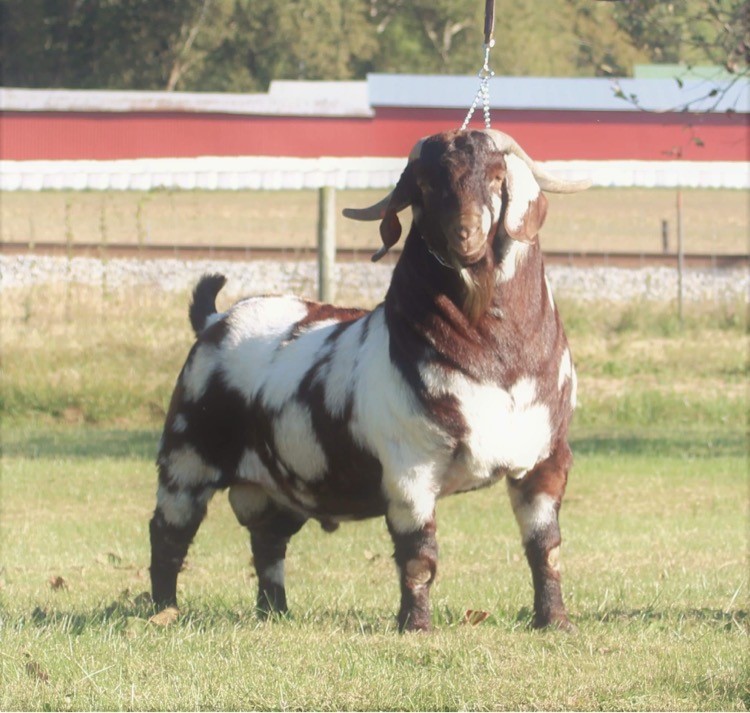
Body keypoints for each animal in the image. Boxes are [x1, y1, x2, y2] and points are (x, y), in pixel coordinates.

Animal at [149, 129, 588, 631]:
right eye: (426, 185)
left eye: (498, 177)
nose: (467, 234)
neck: (498, 366)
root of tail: (214, 320)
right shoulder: (409, 469)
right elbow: (419, 555)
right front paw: (415, 626)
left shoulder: (546, 460)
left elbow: (545, 549)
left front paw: (554, 621)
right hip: (186, 460)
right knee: (169, 534)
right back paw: (162, 611)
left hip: (269, 488)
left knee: (268, 542)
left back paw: (274, 612)